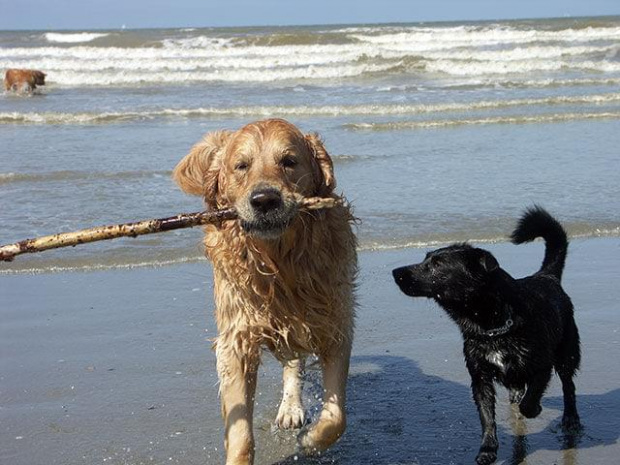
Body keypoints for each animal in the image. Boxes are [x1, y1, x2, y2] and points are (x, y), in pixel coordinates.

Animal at [174, 118, 356, 462]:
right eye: (241, 166)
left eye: (289, 161)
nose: (264, 200)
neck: (279, 260)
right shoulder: (236, 341)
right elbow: (241, 432)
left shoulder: (334, 323)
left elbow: (337, 416)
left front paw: (311, 441)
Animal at [392, 208, 580, 464]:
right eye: (425, 259)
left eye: (437, 264)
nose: (396, 272)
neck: (492, 328)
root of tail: (546, 276)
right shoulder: (480, 378)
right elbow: (486, 417)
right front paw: (487, 449)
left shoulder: (543, 366)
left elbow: (531, 399)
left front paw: (534, 409)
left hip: (566, 353)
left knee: (568, 386)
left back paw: (570, 419)